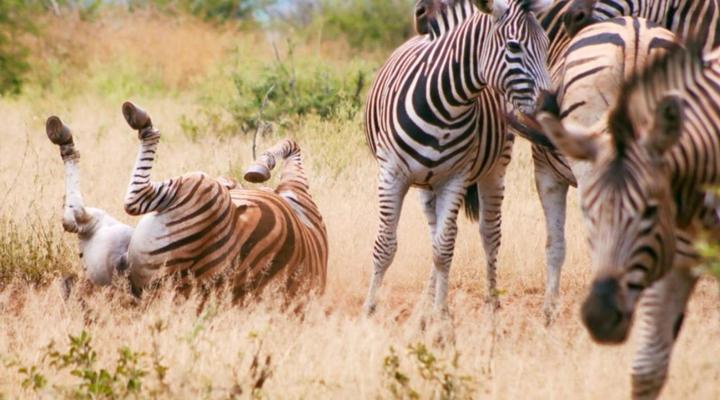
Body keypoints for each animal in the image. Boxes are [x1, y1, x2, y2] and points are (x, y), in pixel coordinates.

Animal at [47, 102, 328, 301]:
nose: (229, 183)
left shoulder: (296, 189)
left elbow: (292, 144)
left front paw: (259, 167)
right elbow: (292, 143)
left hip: (198, 188)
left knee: (119, 204)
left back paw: (134, 122)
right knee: (78, 218)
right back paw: (63, 137)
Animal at [363, 0, 552, 317]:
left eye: (547, 45)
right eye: (514, 46)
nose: (551, 105)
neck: (446, 105)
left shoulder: (455, 177)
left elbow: (444, 249)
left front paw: (440, 315)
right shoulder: (391, 173)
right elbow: (385, 245)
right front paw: (369, 309)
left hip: (494, 170)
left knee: (488, 235)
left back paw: (491, 303)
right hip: (427, 184)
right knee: (436, 233)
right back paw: (424, 304)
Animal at [536, 40, 720, 400]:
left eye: (650, 210)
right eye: (588, 213)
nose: (600, 317)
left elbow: (554, 245)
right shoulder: (671, 257)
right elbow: (648, 370)